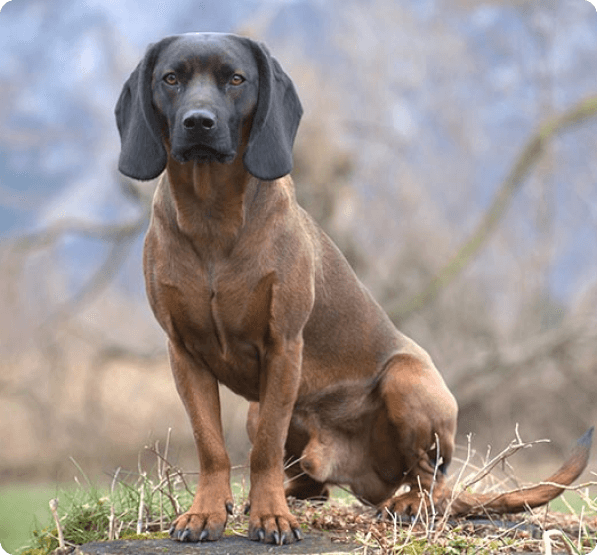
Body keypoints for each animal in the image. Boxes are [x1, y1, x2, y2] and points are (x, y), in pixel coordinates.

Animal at [115, 32, 592, 544]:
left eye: (236, 79)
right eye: (171, 79)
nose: (198, 122)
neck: (212, 217)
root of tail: (365, 478)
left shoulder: (283, 346)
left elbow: (263, 450)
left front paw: (270, 516)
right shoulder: (184, 353)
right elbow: (211, 445)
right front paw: (207, 512)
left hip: (406, 383)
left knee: (435, 483)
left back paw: (407, 504)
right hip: (258, 410)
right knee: (315, 485)